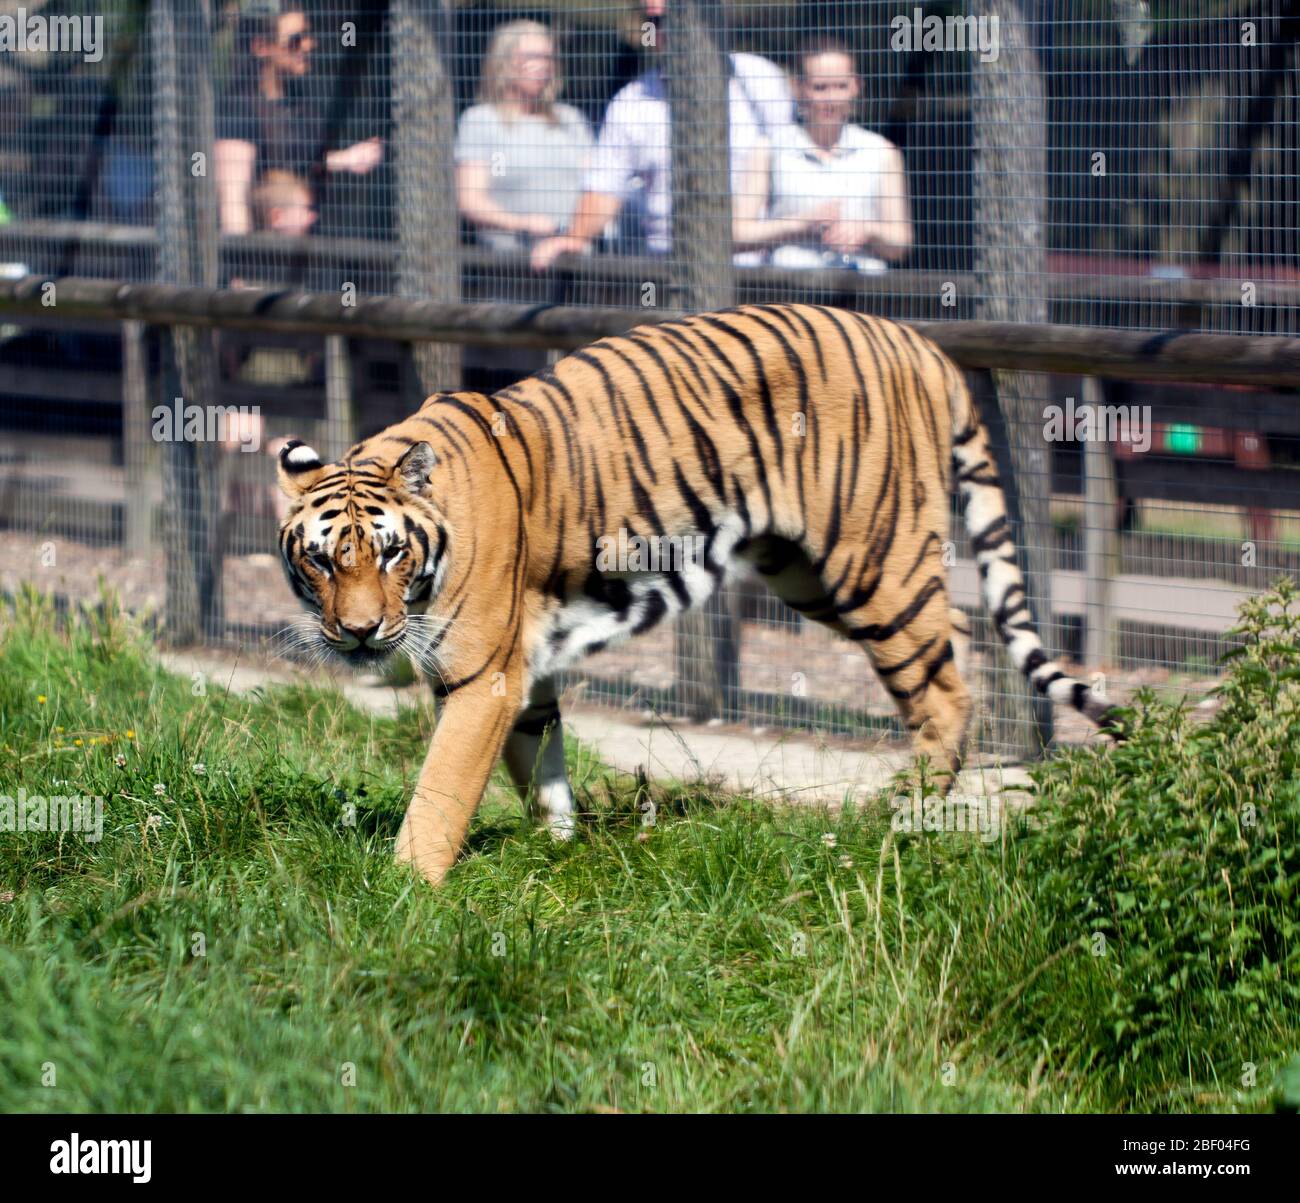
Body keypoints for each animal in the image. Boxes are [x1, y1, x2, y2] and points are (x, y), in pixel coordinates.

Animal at [279, 300, 1123, 884]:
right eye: (321, 562)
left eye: (390, 553)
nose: (359, 632)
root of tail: (919, 342)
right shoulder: (526, 668)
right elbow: (540, 764)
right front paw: (559, 851)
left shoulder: (481, 675)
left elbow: (442, 789)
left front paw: (405, 889)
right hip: (810, 572)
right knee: (958, 645)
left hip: (874, 562)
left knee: (945, 690)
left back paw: (899, 823)